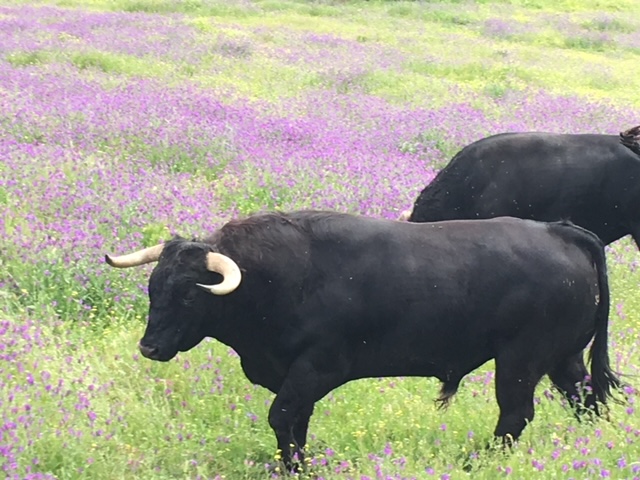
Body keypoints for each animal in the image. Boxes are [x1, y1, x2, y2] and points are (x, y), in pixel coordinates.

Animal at [105, 213, 620, 468]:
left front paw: (297, 467)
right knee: (587, 401)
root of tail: (560, 231)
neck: (281, 276)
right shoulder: (296, 378)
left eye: (189, 295)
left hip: (520, 361)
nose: (149, 348)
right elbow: (296, 424)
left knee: (514, 416)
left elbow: (281, 418)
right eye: (154, 287)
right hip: (564, 359)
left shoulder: (316, 368)